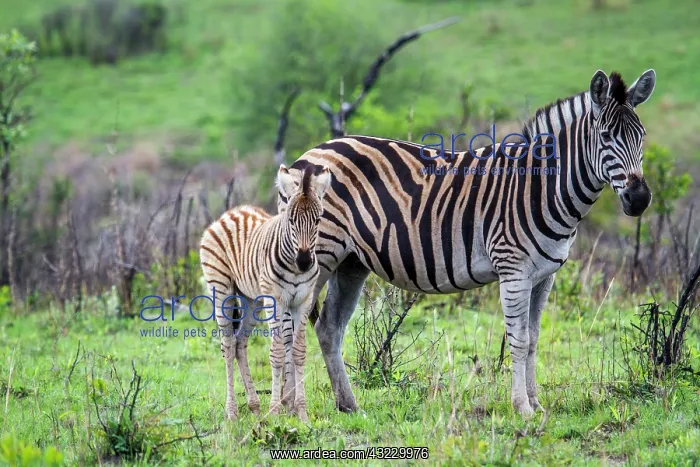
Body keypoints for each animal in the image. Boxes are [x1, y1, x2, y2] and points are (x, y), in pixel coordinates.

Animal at [199, 164, 332, 421]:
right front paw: (275, 411)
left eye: (318, 219)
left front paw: (302, 413)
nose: (303, 262)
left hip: (252, 299)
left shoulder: (303, 300)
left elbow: (298, 352)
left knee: (240, 344)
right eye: (290, 219)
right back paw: (232, 412)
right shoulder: (276, 301)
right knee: (227, 346)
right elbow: (278, 352)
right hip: (222, 289)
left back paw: (254, 406)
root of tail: (230, 213)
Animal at [280, 69, 656, 416]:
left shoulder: (545, 276)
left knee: (328, 328)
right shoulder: (514, 270)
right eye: (606, 137)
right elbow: (518, 340)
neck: (543, 188)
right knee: (291, 327)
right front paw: (521, 407)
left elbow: (534, 340)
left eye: (642, 136)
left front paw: (536, 404)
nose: (639, 199)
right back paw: (290, 409)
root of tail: (310, 153)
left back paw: (348, 405)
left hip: (350, 262)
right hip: (318, 257)